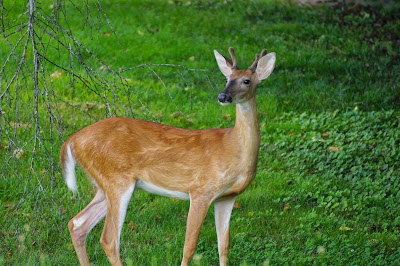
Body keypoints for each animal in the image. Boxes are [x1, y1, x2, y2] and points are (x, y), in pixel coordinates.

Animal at [59, 47, 276, 266]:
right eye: (226, 78)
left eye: (246, 80)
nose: (223, 96)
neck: (234, 147)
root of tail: (72, 140)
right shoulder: (201, 190)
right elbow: (189, 247)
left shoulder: (227, 197)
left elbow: (224, 246)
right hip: (116, 180)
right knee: (108, 240)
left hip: (104, 185)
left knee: (77, 224)